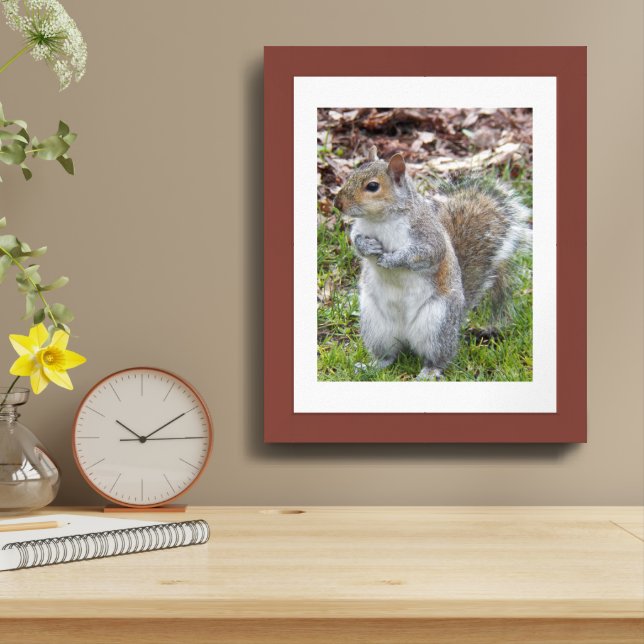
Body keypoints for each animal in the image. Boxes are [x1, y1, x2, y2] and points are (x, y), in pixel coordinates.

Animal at [333, 146, 531, 380]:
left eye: (372, 186)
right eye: (351, 174)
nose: (338, 203)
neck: (380, 219)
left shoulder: (427, 235)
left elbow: (425, 254)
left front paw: (391, 259)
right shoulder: (360, 228)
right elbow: (355, 240)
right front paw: (367, 246)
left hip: (437, 323)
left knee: (439, 356)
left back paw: (430, 371)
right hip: (376, 325)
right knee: (388, 355)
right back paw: (373, 365)